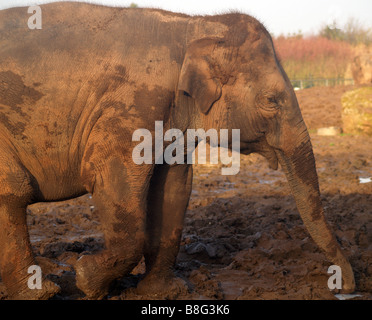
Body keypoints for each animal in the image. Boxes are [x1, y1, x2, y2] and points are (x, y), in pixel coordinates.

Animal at [0, 1, 354, 300]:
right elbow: (111, 179)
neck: (194, 26)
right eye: (271, 100)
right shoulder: (132, 105)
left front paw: (165, 292)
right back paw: (42, 292)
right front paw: (86, 279)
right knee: (13, 190)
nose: (346, 286)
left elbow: (173, 187)